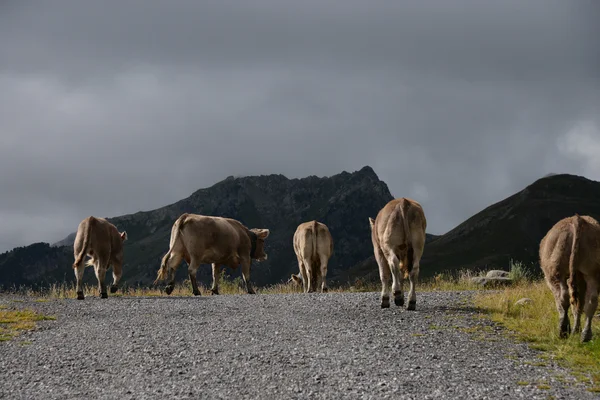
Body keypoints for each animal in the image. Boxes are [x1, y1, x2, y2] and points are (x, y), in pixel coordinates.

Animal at [540, 214, 600, 342]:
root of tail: (577, 219)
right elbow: (579, 304)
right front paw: (576, 330)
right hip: (592, 272)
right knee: (591, 300)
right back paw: (585, 335)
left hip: (556, 271)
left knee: (563, 296)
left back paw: (563, 330)